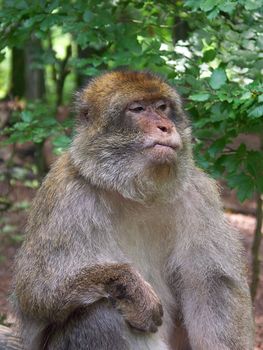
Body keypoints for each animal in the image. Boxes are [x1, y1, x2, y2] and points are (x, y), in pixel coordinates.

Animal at [11, 69, 254, 348]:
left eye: (162, 107)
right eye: (137, 109)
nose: (166, 126)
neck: (136, 192)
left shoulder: (198, 195)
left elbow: (213, 284)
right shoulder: (65, 195)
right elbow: (36, 290)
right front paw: (130, 286)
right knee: (100, 313)